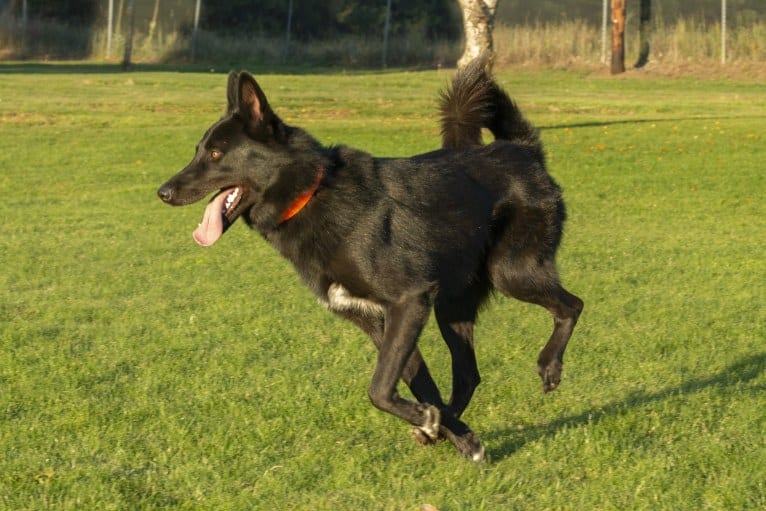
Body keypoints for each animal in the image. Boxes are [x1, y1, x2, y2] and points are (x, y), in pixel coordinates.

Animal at [159, 60, 584, 464]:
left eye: (216, 154)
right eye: (198, 151)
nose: (163, 192)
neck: (311, 192)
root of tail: (523, 150)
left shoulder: (409, 302)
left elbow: (379, 389)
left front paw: (436, 425)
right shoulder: (380, 321)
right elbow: (416, 384)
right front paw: (454, 435)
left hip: (511, 272)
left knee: (573, 305)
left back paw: (550, 366)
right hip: (451, 307)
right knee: (468, 375)